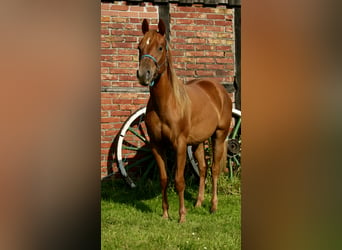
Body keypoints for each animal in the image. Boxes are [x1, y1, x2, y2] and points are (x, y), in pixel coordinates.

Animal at [136, 19, 232, 223]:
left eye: (160, 47)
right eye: (139, 47)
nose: (143, 74)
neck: (167, 103)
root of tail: (218, 90)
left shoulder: (179, 145)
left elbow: (179, 180)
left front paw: (181, 216)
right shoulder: (157, 145)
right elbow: (164, 179)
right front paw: (165, 214)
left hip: (218, 137)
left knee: (214, 170)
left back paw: (213, 206)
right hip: (197, 143)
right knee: (203, 169)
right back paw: (198, 203)